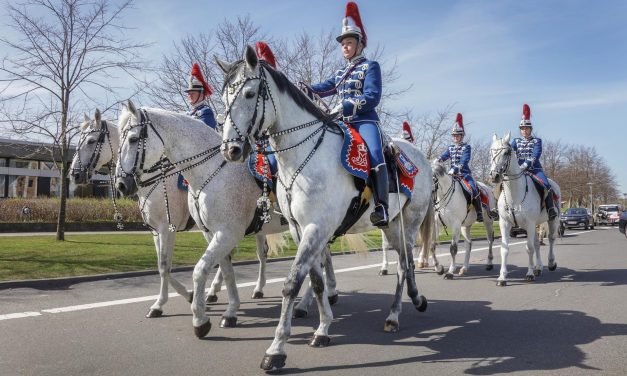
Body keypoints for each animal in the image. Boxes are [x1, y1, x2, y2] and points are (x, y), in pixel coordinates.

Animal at [70, 108, 280, 318]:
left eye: (91, 141)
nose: (74, 174)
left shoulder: (167, 229)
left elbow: (164, 267)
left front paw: (161, 304)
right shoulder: (156, 231)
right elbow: (162, 265)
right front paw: (189, 295)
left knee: (258, 255)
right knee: (255, 255)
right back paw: (223, 291)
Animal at [114, 103, 338, 338]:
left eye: (133, 138)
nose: (120, 184)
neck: (211, 170)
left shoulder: (199, 231)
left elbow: (189, 268)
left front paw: (195, 315)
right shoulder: (206, 232)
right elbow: (225, 270)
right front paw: (229, 310)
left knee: (318, 262)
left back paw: (307, 304)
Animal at [218, 46, 434, 370]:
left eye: (249, 93)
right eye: (223, 98)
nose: (230, 150)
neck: (303, 156)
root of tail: (420, 156)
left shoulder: (316, 227)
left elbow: (292, 282)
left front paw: (276, 349)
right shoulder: (301, 229)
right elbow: (317, 281)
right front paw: (322, 329)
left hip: (410, 221)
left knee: (404, 264)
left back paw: (395, 315)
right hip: (391, 225)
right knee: (404, 262)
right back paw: (414, 301)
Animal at [488, 134, 560, 286]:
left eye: (506, 152)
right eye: (491, 151)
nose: (494, 176)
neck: (514, 193)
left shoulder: (530, 223)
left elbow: (529, 247)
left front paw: (529, 274)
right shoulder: (505, 223)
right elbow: (504, 249)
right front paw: (502, 277)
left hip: (551, 220)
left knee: (551, 239)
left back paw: (551, 263)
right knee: (538, 243)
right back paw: (539, 268)